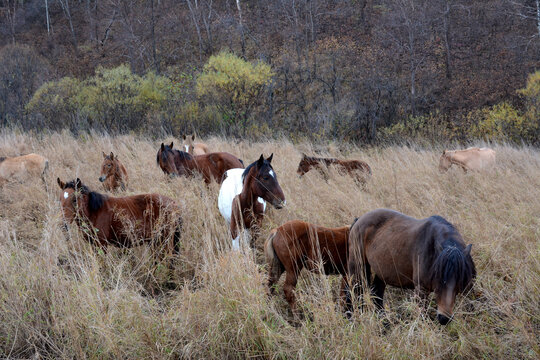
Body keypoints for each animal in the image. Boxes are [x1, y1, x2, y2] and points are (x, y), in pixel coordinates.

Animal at [346, 208, 476, 324]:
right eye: (439, 279)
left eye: (460, 281)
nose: (444, 319)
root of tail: (359, 220)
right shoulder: (421, 290)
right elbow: (422, 316)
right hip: (357, 267)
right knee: (355, 292)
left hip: (381, 272)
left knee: (376, 294)